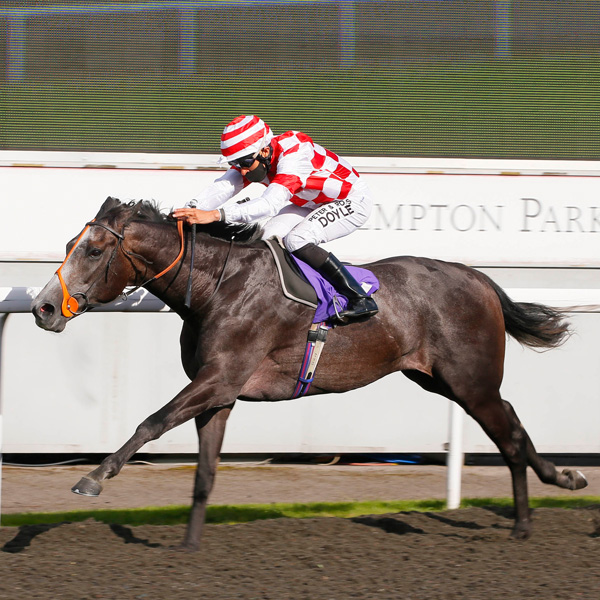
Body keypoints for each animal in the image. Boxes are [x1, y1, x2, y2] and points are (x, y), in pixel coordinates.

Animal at [31, 197, 584, 548]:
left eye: (94, 250)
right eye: (69, 242)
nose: (42, 308)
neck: (218, 286)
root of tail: (477, 277)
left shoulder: (219, 378)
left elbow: (150, 422)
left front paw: (92, 479)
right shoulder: (219, 392)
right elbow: (205, 472)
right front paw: (189, 546)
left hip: (469, 380)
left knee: (507, 434)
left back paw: (525, 524)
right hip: (443, 379)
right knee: (512, 421)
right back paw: (562, 479)